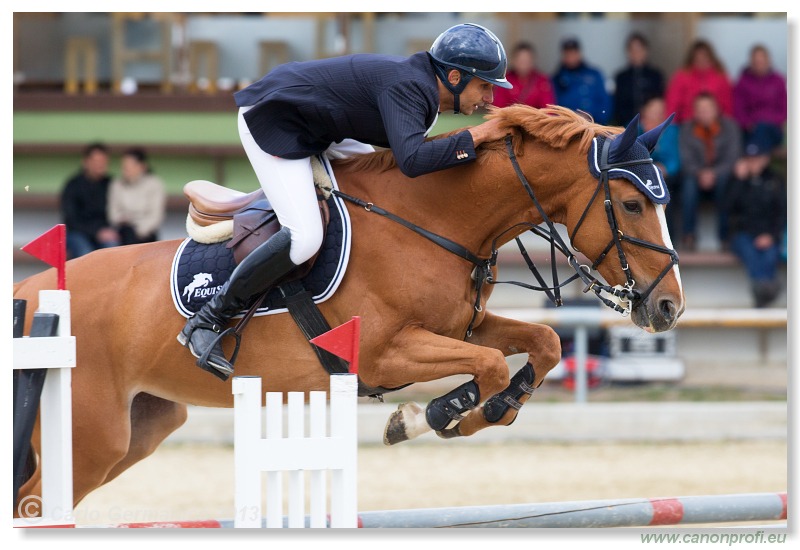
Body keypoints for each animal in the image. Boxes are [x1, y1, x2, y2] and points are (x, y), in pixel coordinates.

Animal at [12, 106, 684, 512]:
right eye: (630, 204)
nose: (669, 307)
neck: (432, 220)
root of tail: (27, 293)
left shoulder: (460, 326)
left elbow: (541, 343)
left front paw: (476, 412)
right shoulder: (384, 352)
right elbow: (490, 366)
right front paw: (436, 414)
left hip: (139, 428)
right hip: (89, 438)